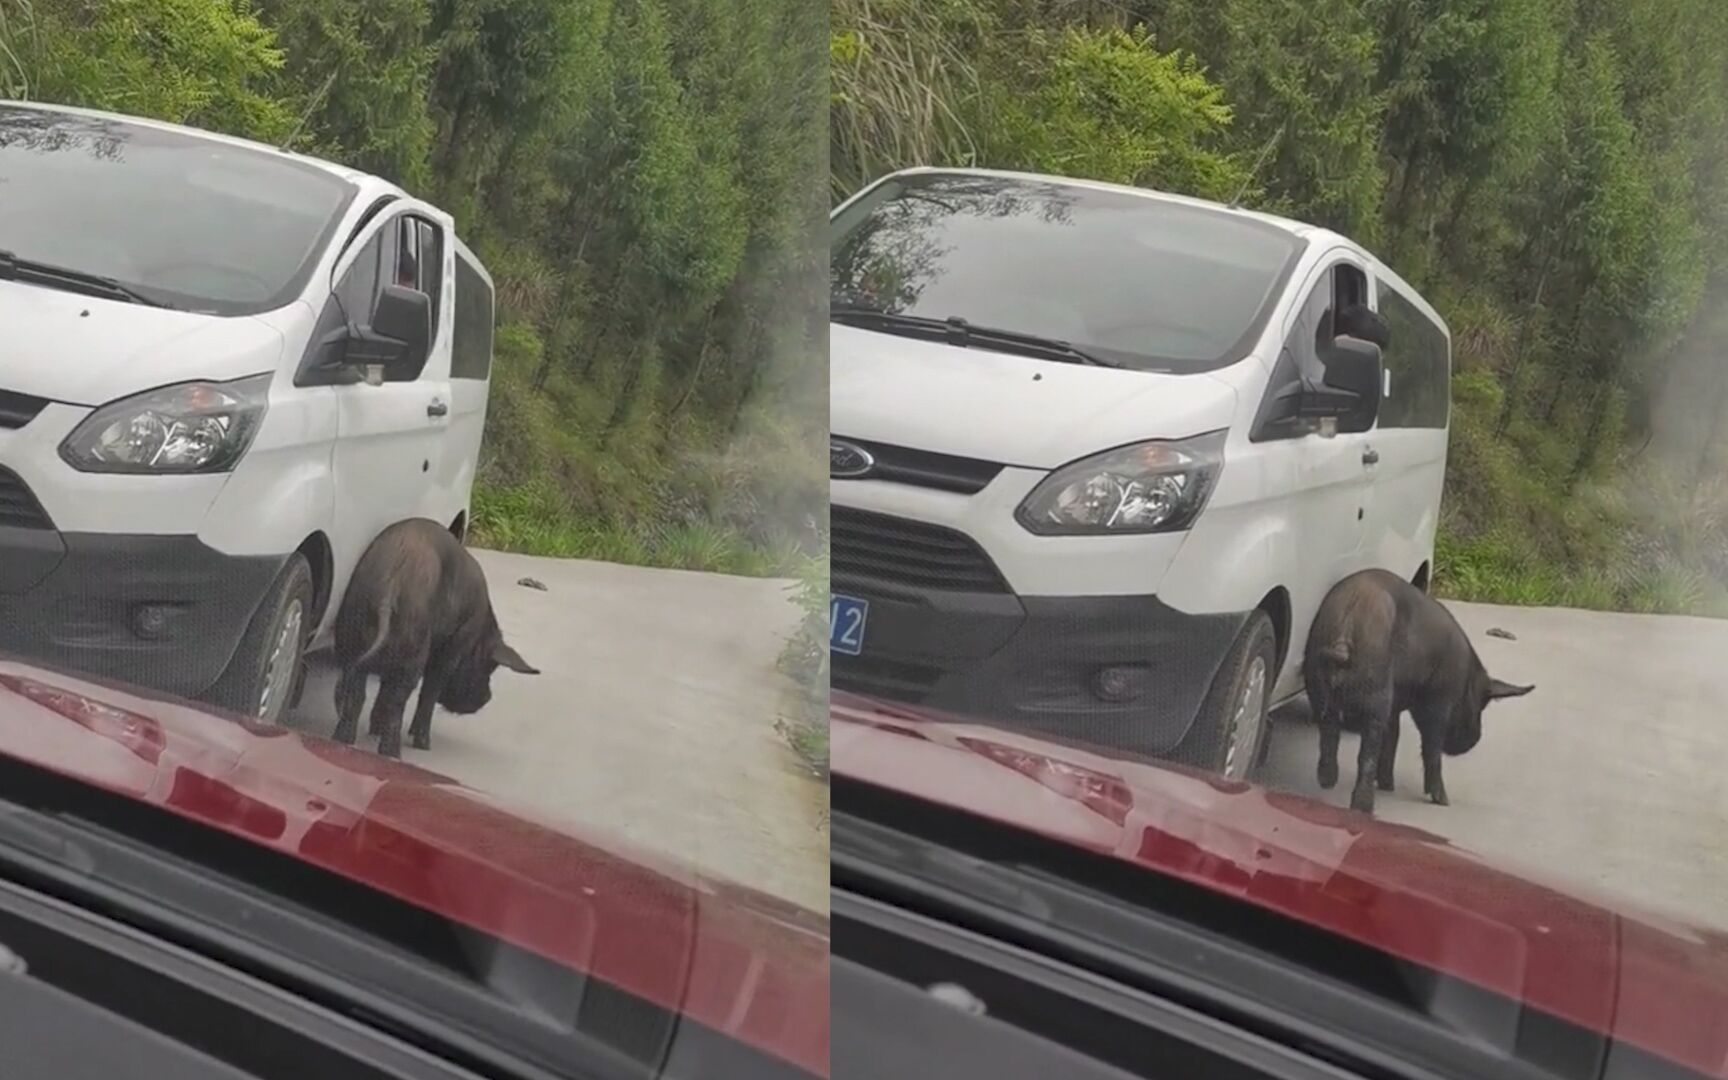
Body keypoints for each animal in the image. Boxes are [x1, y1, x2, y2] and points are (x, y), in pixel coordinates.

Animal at [330, 514, 532, 753]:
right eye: (489, 666)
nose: (487, 697)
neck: (480, 628)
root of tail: (391, 585)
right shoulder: (453, 649)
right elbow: (430, 691)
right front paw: (423, 744)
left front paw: (374, 729)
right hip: (412, 654)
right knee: (395, 702)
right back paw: (395, 753)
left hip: (352, 637)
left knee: (356, 695)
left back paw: (342, 741)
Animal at [1299, 570, 1534, 812]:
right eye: (1481, 704)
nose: (1474, 739)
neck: (1465, 677)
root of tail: (1345, 630)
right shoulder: (1438, 702)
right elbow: (1431, 747)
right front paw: (1443, 801)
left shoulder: (1394, 707)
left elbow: (1393, 738)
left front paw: (1387, 785)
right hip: (1374, 691)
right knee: (1367, 750)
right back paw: (1363, 806)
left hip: (1317, 682)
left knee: (1329, 730)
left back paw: (1327, 781)